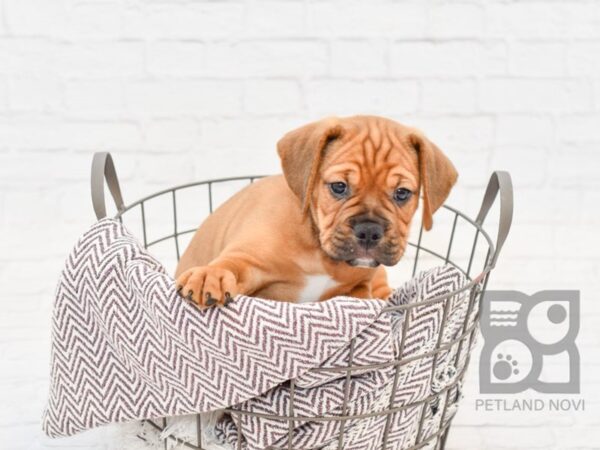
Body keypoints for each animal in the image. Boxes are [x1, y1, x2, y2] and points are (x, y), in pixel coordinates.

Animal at [176, 114, 458, 308]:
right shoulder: (249, 258)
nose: (369, 231)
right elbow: (231, 264)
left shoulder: (358, 288)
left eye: (402, 193)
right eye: (339, 187)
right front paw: (210, 275)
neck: (319, 252)